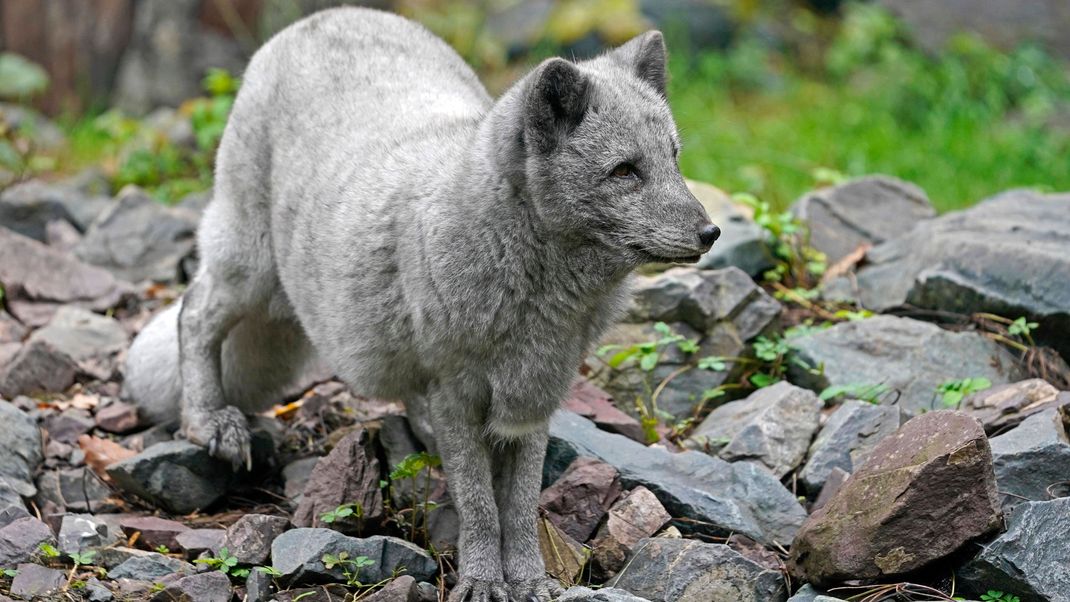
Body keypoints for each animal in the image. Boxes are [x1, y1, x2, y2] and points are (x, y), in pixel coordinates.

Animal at [123, 7, 719, 598]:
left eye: (673, 159)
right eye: (624, 171)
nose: (711, 233)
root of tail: (330, 15)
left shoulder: (534, 398)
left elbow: (520, 505)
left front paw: (528, 578)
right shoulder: (456, 391)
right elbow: (480, 505)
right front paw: (483, 580)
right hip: (251, 271)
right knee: (194, 312)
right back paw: (209, 421)